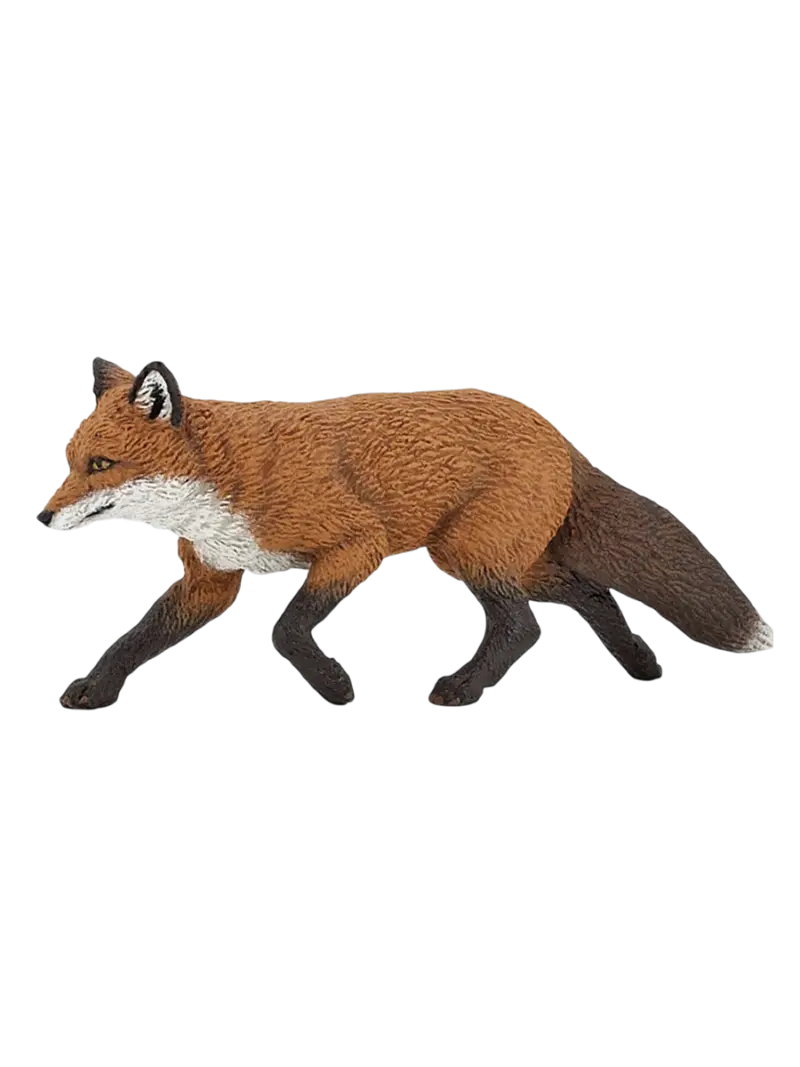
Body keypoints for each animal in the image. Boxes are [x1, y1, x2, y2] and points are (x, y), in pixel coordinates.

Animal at [40, 359, 775, 710]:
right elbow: (133, 641)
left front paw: (333, 685)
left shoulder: (356, 543)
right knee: (588, 594)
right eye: (70, 461)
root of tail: (556, 432)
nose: (43, 516)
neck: (230, 479)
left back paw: (464, 689)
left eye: (100, 465)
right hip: (513, 559)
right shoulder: (212, 578)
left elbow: (286, 630)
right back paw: (639, 662)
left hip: (468, 554)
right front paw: (95, 689)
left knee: (522, 626)